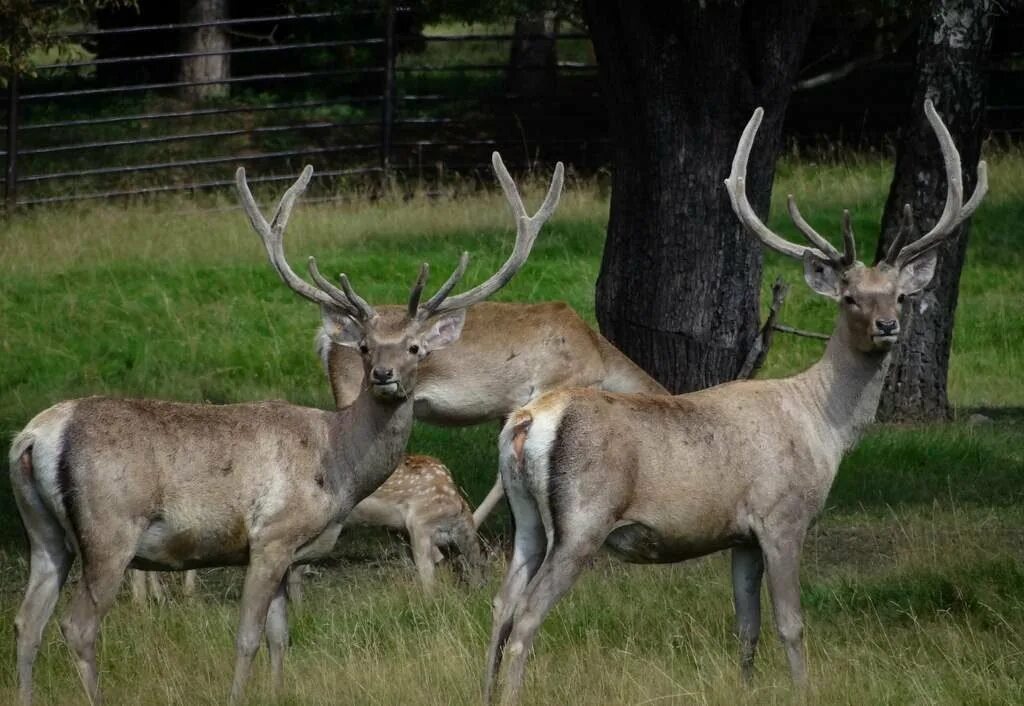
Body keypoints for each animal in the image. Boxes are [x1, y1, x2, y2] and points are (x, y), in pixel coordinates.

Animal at [8, 151, 565, 700]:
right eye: (365, 347)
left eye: (415, 348)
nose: (384, 376)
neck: (335, 465)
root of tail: (34, 436)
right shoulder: (271, 536)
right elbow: (248, 637)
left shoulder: (288, 552)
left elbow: (280, 636)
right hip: (110, 528)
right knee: (77, 626)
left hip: (44, 533)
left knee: (25, 622)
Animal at [483, 100, 987, 704]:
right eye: (849, 297)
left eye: (902, 295)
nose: (887, 325)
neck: (823, 426)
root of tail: (527, 420)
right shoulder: (781, 516)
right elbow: (790, 623)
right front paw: (803, 690)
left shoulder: (739, 535)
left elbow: (746, 626)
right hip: (584, 516)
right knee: (528, 615)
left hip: (526, 517)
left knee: (501, 605)